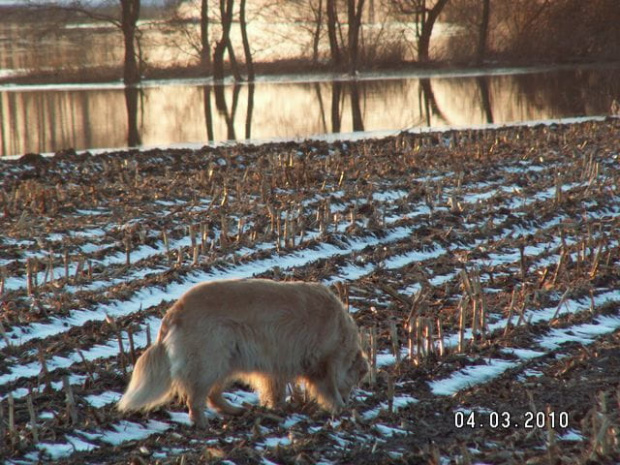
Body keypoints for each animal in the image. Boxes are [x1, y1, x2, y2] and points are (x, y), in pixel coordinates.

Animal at [117, 278, 368, 426]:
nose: (348, 398)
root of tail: (175, 310)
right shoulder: (321, 362)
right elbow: (328, 386)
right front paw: (340, 407)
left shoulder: (274, 365)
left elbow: (274, 389)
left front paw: (277, 408)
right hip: (210, 359)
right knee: (196, 397)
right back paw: (202, 425)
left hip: (226, 360)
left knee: (212, 394)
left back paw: (234, 411)